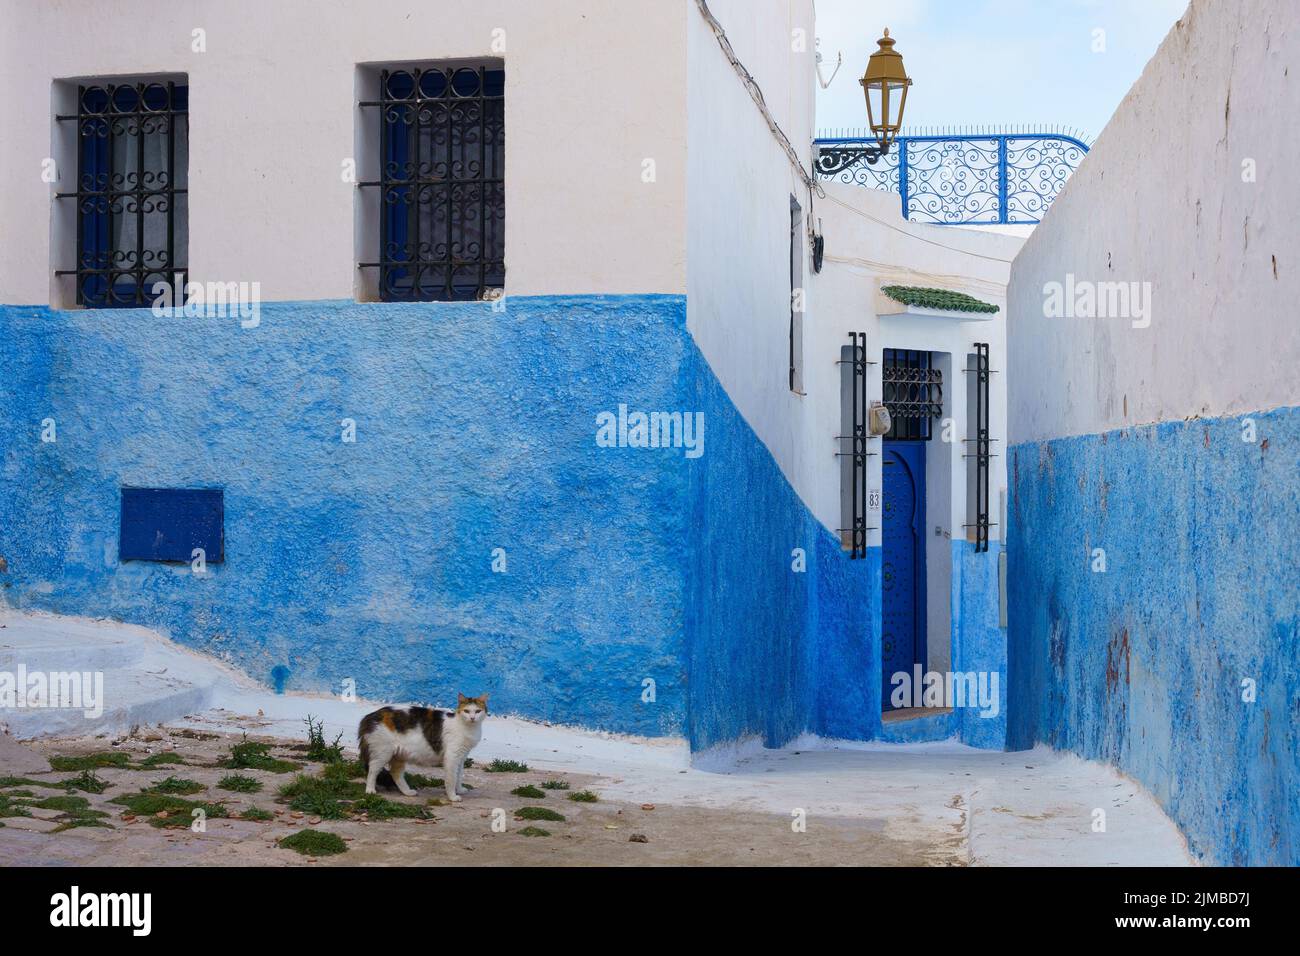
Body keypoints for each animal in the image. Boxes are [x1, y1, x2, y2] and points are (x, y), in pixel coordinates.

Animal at [356, 691, 488, 806]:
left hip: (399, 754)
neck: (467, 727)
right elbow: (451, 779)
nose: (472, 718)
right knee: (372, 771)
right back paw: (370, 790)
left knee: (396, 773)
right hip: (383, 753)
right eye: (466, 711)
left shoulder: (461, 757)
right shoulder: (452, 757)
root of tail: (370, 715)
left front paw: (459, 789)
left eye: (477, 711)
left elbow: (459, 776)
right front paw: (452, 796)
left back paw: (407, 792)